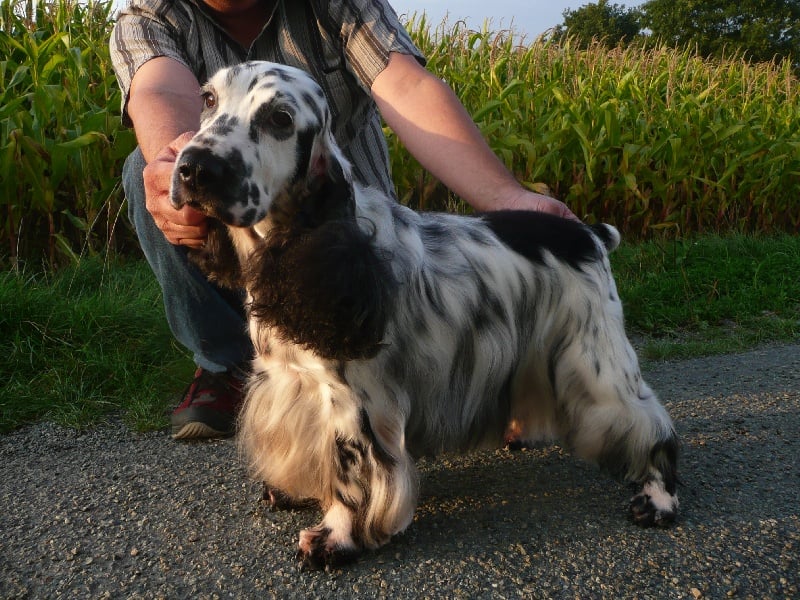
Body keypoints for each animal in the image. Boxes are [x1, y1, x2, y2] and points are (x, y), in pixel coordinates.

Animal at [172, 62, 680, 572]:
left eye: (280, 118)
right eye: (208, 98)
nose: (194, 167)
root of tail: (588, 233)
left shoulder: (354, 402)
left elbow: (351, 473)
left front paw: (335, 537)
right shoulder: (289, 382)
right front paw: (294, 491)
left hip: (597, 361)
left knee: (649, 423)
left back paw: (658, 499)